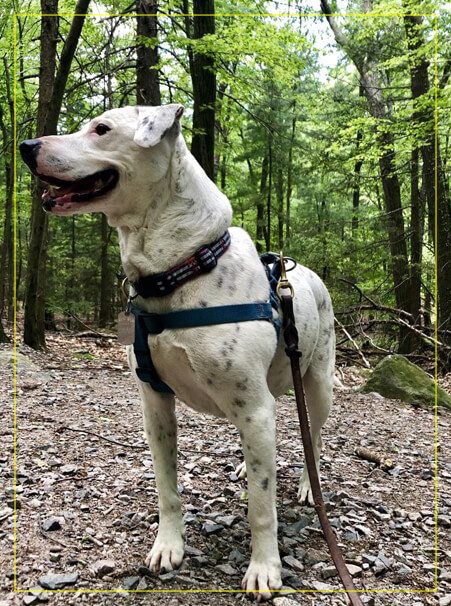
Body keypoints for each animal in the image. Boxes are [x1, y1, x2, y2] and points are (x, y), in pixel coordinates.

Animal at [20, 105, 336, 604]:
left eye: (101, 129)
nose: (26, 146)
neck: (181, 269)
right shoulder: (156, 404)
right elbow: (167, 487)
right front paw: (168, 546)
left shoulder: (253, 407)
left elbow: (261, 507)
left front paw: (264, 568)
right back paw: (247, 462)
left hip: (318, 385)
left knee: (314, 437)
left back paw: (309, 484)